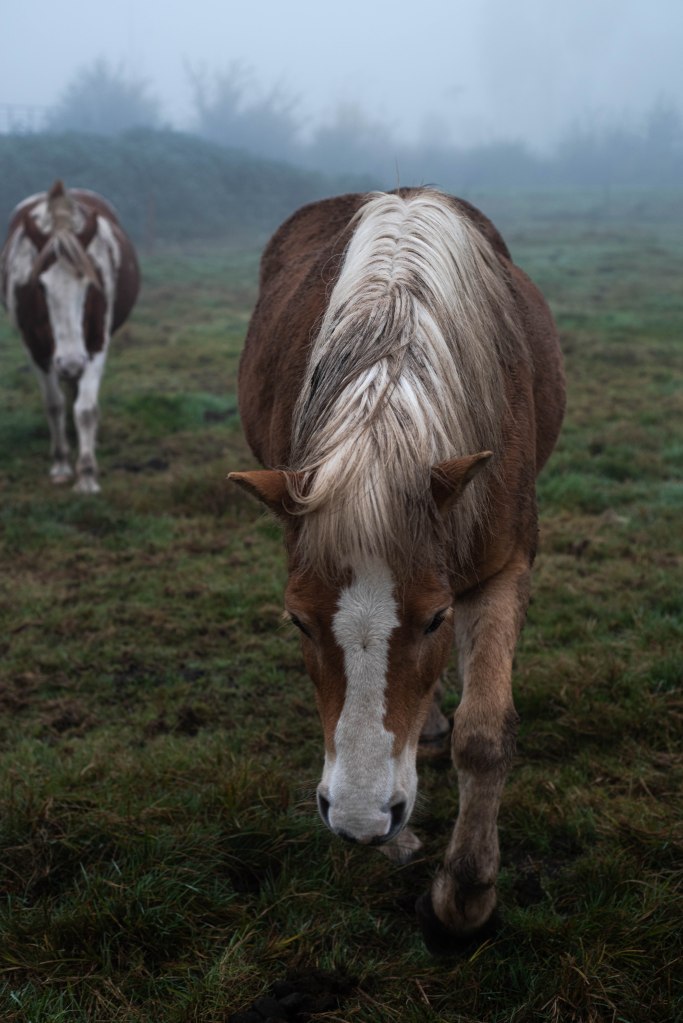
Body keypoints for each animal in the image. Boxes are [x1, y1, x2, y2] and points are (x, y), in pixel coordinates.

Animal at [1, 180, 140, 493]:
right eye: (40, 287)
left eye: (89, 285)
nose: (70, 362)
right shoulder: (35, 349)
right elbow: (54, 405)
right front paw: (61, 464)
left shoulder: (97, 343)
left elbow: (86, 409)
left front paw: (87, 473)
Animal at [229, 187, 565, 950]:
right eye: (297, 620)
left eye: (436, 617)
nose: (359, 819)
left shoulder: (504, 567)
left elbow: (484, 733)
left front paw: (463, 896)